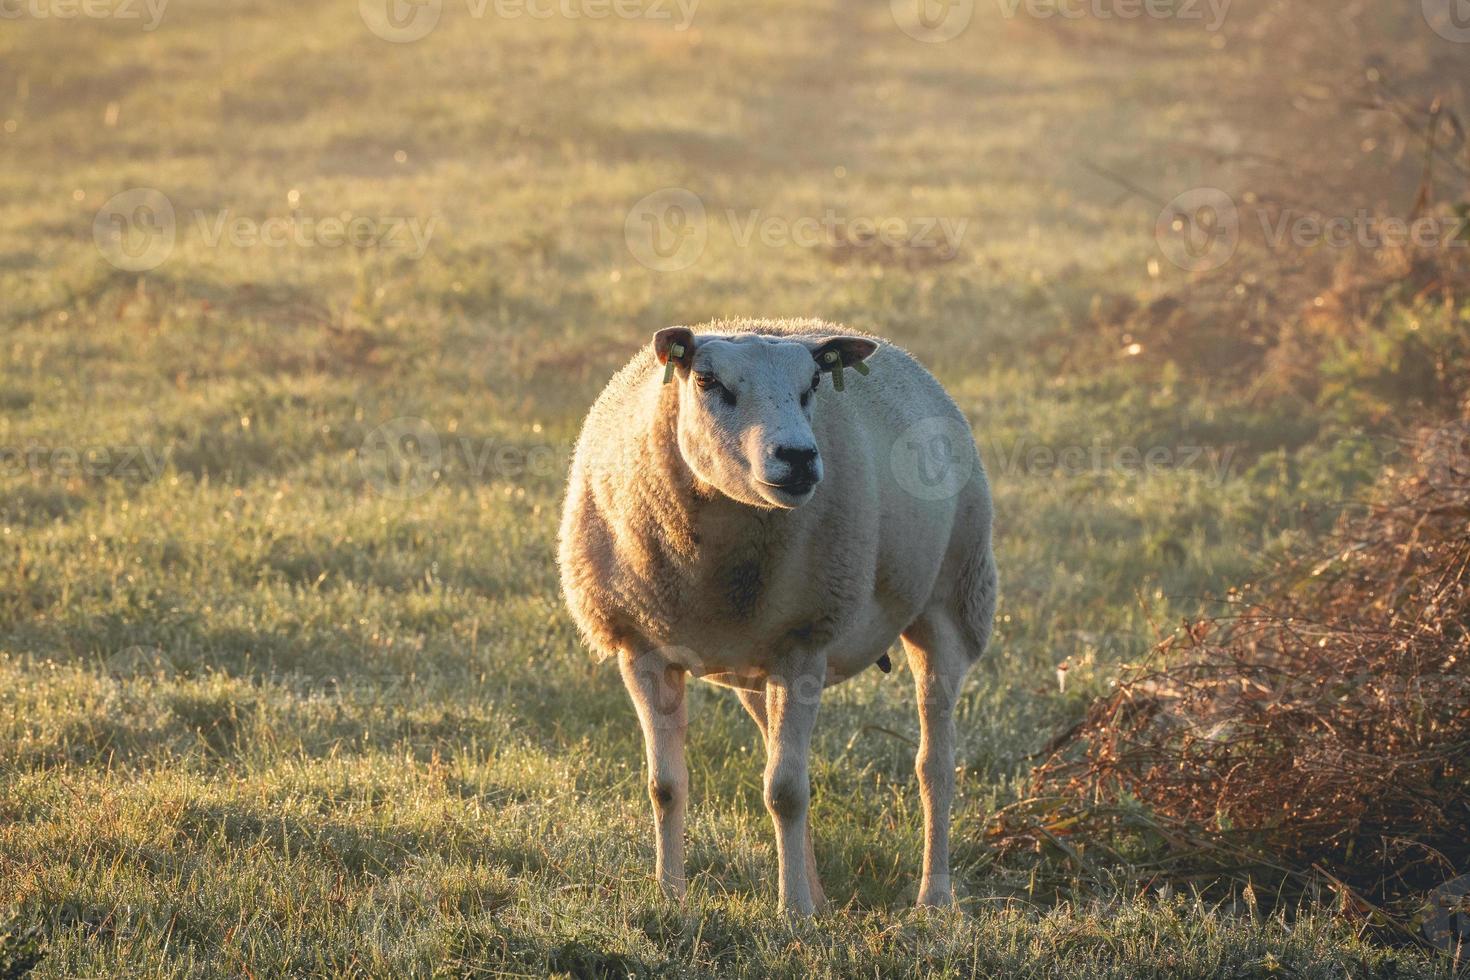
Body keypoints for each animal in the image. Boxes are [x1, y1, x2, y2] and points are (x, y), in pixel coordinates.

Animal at [552, 318, 999, 916]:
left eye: (813, 385)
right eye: (708, 381)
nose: (800, 457)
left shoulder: (804, 641)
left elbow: (785, 793)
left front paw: (794, 914)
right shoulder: (642, 648)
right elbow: (666, 786)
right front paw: (670, 898)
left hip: (952, 599)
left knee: (935, 764)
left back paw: (933, 897)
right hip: (754, 667)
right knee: (779, 751)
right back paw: (824, 894)